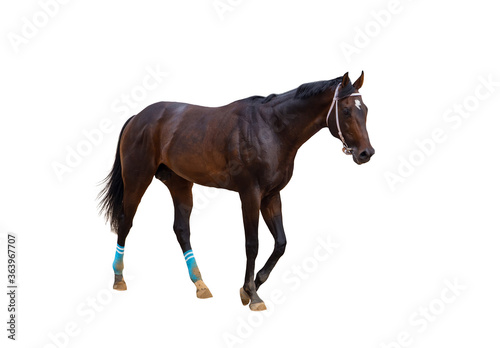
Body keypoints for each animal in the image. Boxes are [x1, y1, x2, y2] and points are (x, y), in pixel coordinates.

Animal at [97, 70, 374, 310]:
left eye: (366, 110)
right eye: (346, 110)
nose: (366, 153)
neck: (272, 129)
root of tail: (137, 117)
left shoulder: (271, 195)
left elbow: (281, 243)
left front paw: (252, 285)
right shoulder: (250, 194)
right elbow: (252, 243)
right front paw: (252, 294)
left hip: (180, 183)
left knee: (181, 229)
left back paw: (200, 284)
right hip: (138, 178)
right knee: (125, 220)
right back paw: (119, 278)